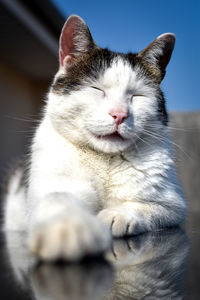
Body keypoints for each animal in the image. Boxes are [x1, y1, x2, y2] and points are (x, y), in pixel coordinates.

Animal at [3, 15, 186, 262]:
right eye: (97, 89)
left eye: (137, 96)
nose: (119, 114)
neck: (105, 161)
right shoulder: (52, 185)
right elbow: (59, 199)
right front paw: (68, 229)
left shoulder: (172, 205)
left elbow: (143, 206)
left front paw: (115, 216)